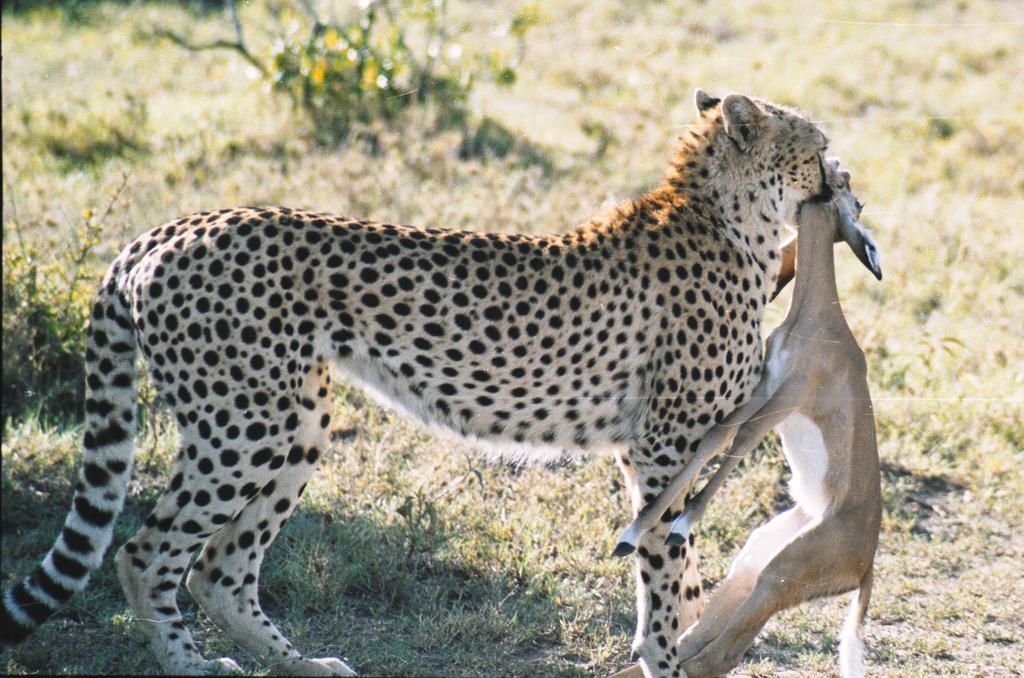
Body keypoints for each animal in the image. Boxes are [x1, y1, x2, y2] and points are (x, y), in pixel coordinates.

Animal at [1, 89, 835, 677]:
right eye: (817, 148)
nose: (839, 179)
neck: (733, 222)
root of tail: (168, 229)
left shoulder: (655, 449)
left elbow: (681, 569)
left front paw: (683, 646)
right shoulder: (664, 445)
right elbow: (664, 565)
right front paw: (667, 656)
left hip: (295, 423)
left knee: (220, 566)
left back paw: (302, 664)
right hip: (244, 426)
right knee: (147, 552)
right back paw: (191, 665)